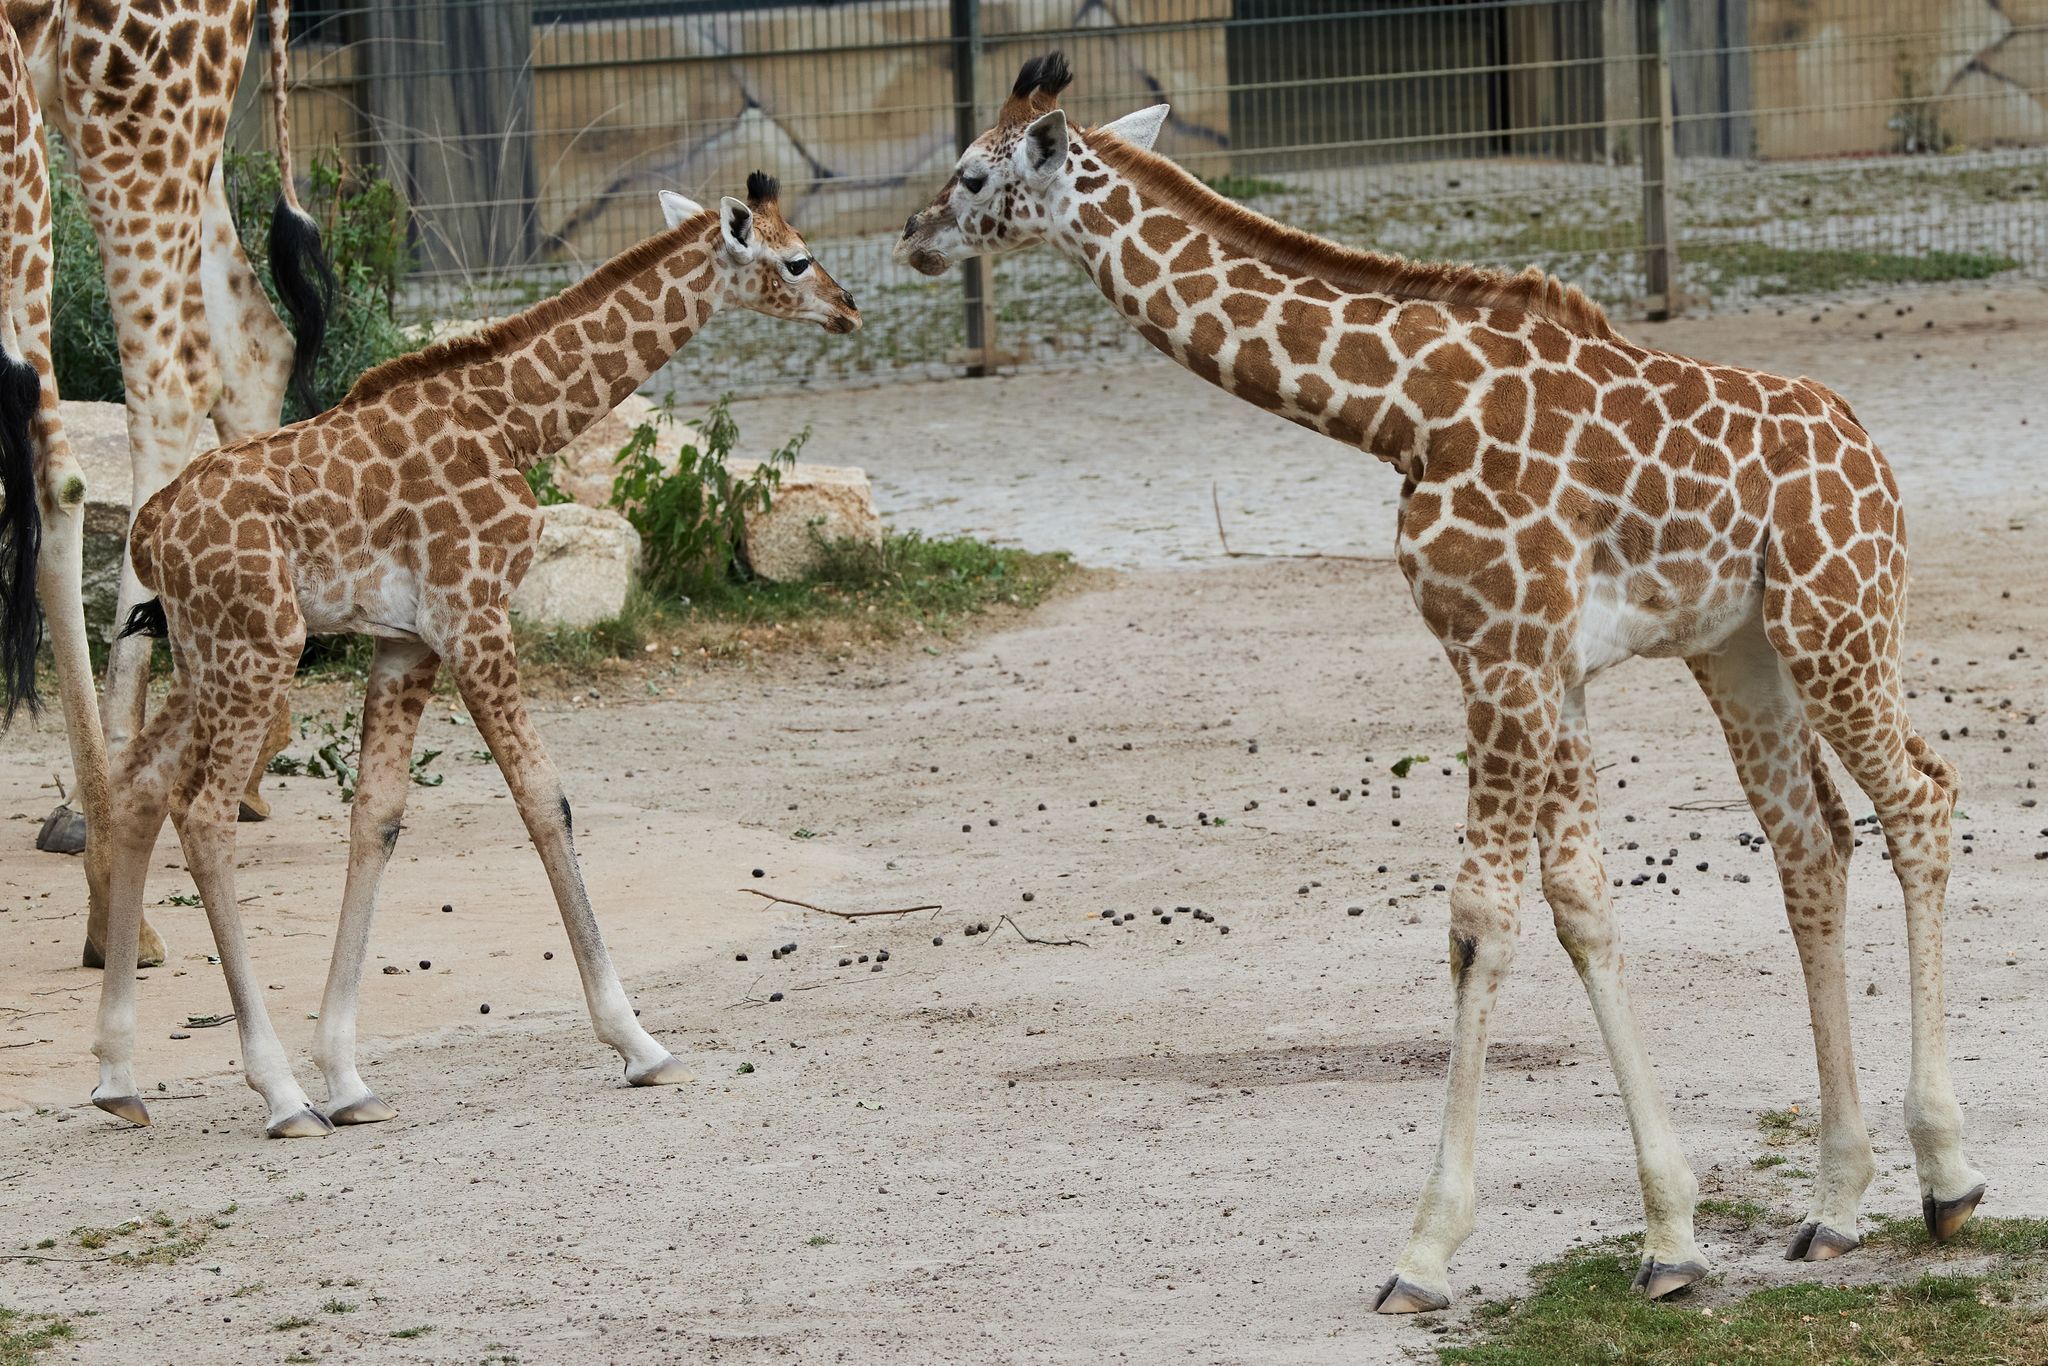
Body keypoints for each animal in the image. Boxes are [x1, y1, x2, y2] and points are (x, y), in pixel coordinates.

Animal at [87, 174, 859, 1138]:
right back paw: (278, 1097)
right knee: (204, 813)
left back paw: (119, 1080)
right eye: (795, 259)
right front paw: (640, 1044)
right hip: (259, 644)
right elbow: (544, 800)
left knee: (140, 785)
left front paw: (348, 1077)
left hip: (208, 653)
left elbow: (375, 820)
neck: (515, 417)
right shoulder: (475, 614)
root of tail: (148, 530)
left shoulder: (405, 642)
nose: (849, 307)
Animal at [898, 54, 1987, 1308]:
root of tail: (1870, 449)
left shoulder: (1502, 655)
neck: (1402, 413)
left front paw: (1422, 1250)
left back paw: (1947, 1178)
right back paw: (1835, 1206)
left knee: (1918, 798)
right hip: (1740, 648)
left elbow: (1478, 918)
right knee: (1810, 838)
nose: (913, 235)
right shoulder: (1540, 663)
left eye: (973, 173)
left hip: (1835, 622)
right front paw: (1670, 1236)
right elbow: (1579, 903)